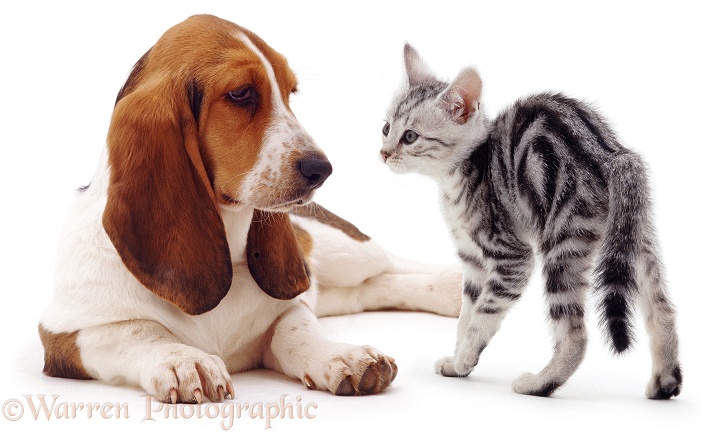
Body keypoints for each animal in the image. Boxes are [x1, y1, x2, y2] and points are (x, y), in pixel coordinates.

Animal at [382, 44, 680, 398]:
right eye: (385, 128)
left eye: (410, 136)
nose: (383, 153)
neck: (460, 176)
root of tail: (612, 153)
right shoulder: (472, 263)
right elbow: (464, 316)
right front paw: (456, 362)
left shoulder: (511, 258)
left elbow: (482, 314)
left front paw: (465, 359)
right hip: (634, 236)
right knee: (663, 310)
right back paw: (665, 382)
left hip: (563, 242)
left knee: (575, 335)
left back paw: (540, 383)